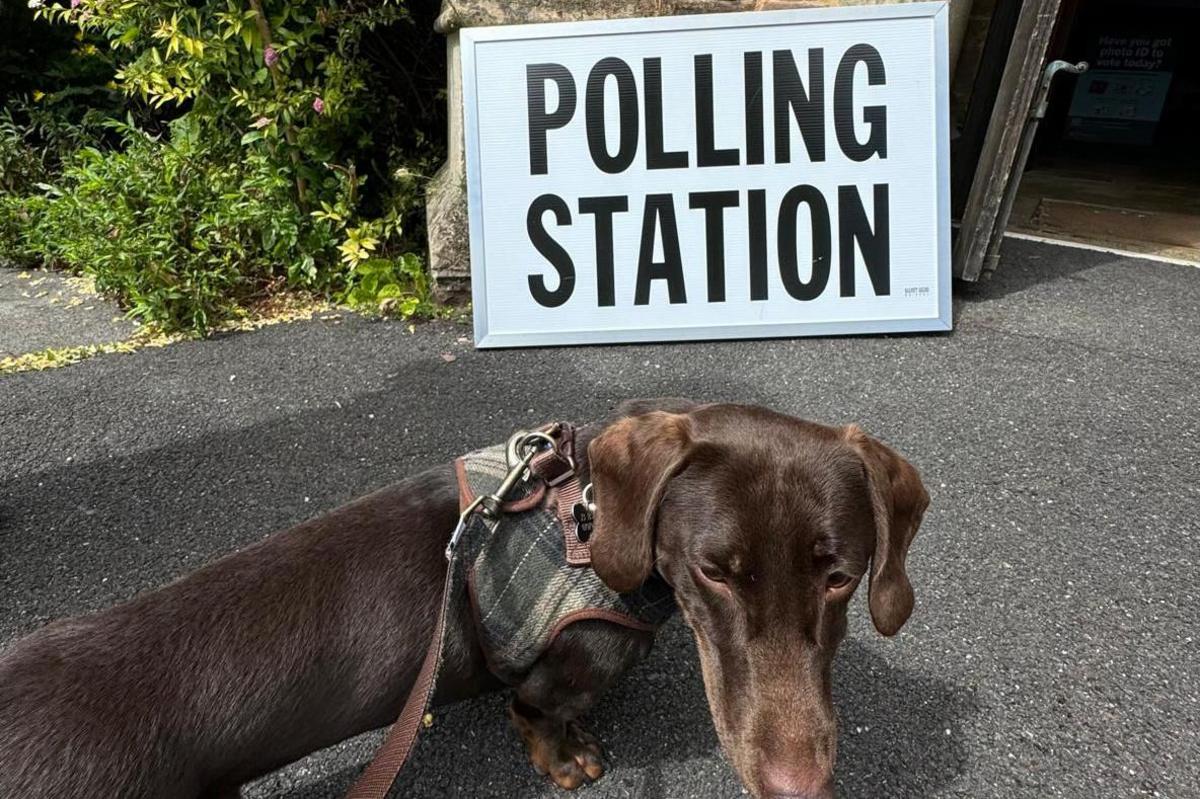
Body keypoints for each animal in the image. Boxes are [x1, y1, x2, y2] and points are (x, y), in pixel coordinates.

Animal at [0, 398, 926, 796]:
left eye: (839, 575)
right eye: (716, 570)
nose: (797, 786)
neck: (587, 514)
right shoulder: (564, 668)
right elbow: (539, 712)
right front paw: (567, 759)